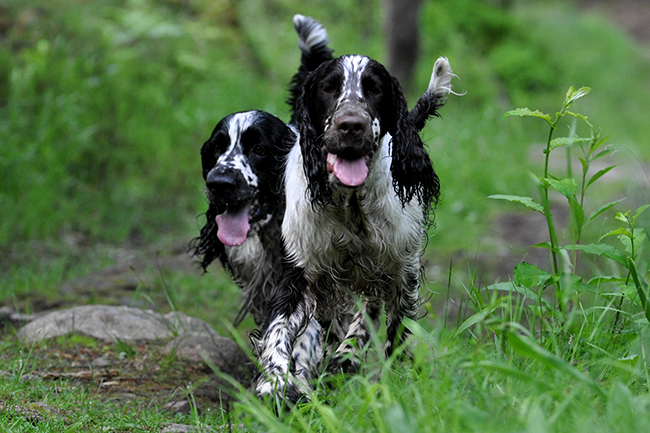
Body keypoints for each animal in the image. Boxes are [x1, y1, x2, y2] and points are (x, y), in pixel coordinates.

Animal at [254, 53, 456, 402]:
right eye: (329, 88)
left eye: (374, 89)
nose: (351, 125)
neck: (351, 207)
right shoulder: (300, 272)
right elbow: (278, 329)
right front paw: (273, 381)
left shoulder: (403, 271)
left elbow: (396, 333)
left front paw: (393, 384)